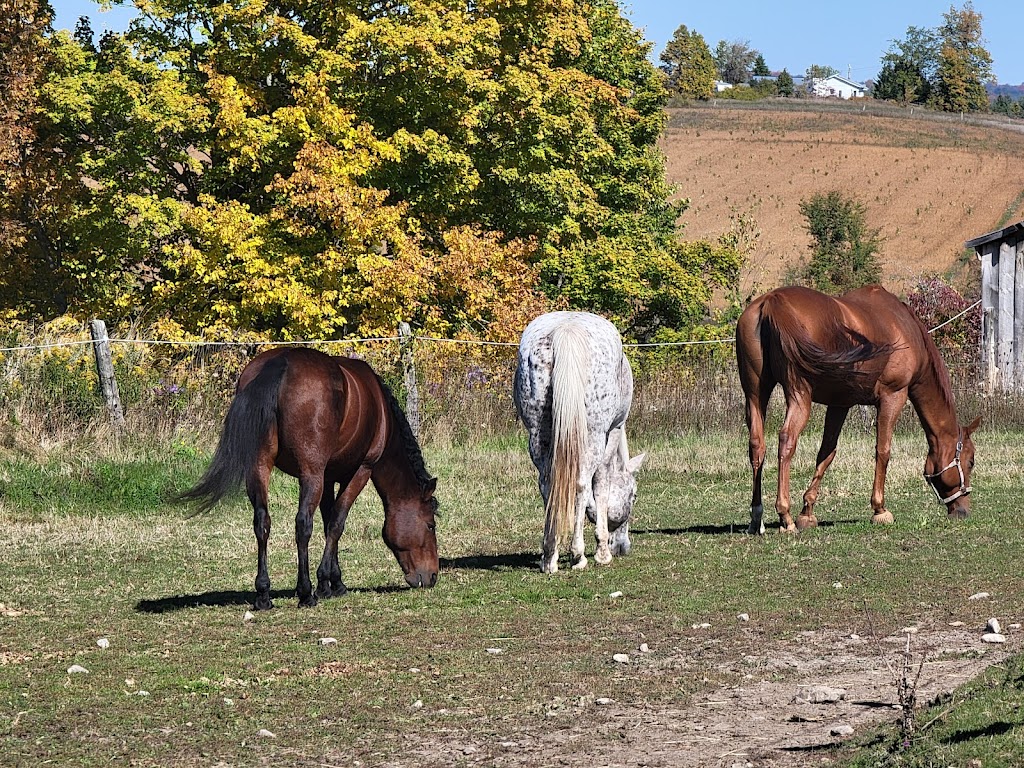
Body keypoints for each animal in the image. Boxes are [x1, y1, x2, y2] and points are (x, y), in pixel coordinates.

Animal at [178, 348, 438, 606]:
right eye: (431, 525)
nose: (433, 576)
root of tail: (280, 362)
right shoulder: (360, 471)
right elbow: (336, 524)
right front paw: (327, 584)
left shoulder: (328, 477)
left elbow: (327, 522)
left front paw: (333, 581)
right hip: (311, 475)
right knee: (302, 525)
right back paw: (305, 592)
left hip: (259, 468)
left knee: (262, 522)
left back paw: (263, 595)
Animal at [516, 311, 643, 573]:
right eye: (633, 495)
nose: (623, 547)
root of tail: (565, 330)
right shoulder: (613, 431)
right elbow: (601, 485)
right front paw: (602, 550)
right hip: (593, 435)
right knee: (581, 484)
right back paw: (579, 555)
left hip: (537, 435)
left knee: (546, 484)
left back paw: (549, 556)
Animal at [733, 286, 978, 536]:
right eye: (970, 462)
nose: (963, 510)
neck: (904, 327)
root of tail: (773, 301)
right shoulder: (893, 397)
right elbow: (883, 451)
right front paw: (880, 510)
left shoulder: (839, 405)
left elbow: (826, 453)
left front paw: (807, 512)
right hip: (799, 396)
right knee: (786, 441)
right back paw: (785, 516)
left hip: (756, 395)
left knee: (757, 447)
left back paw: (757, 518)